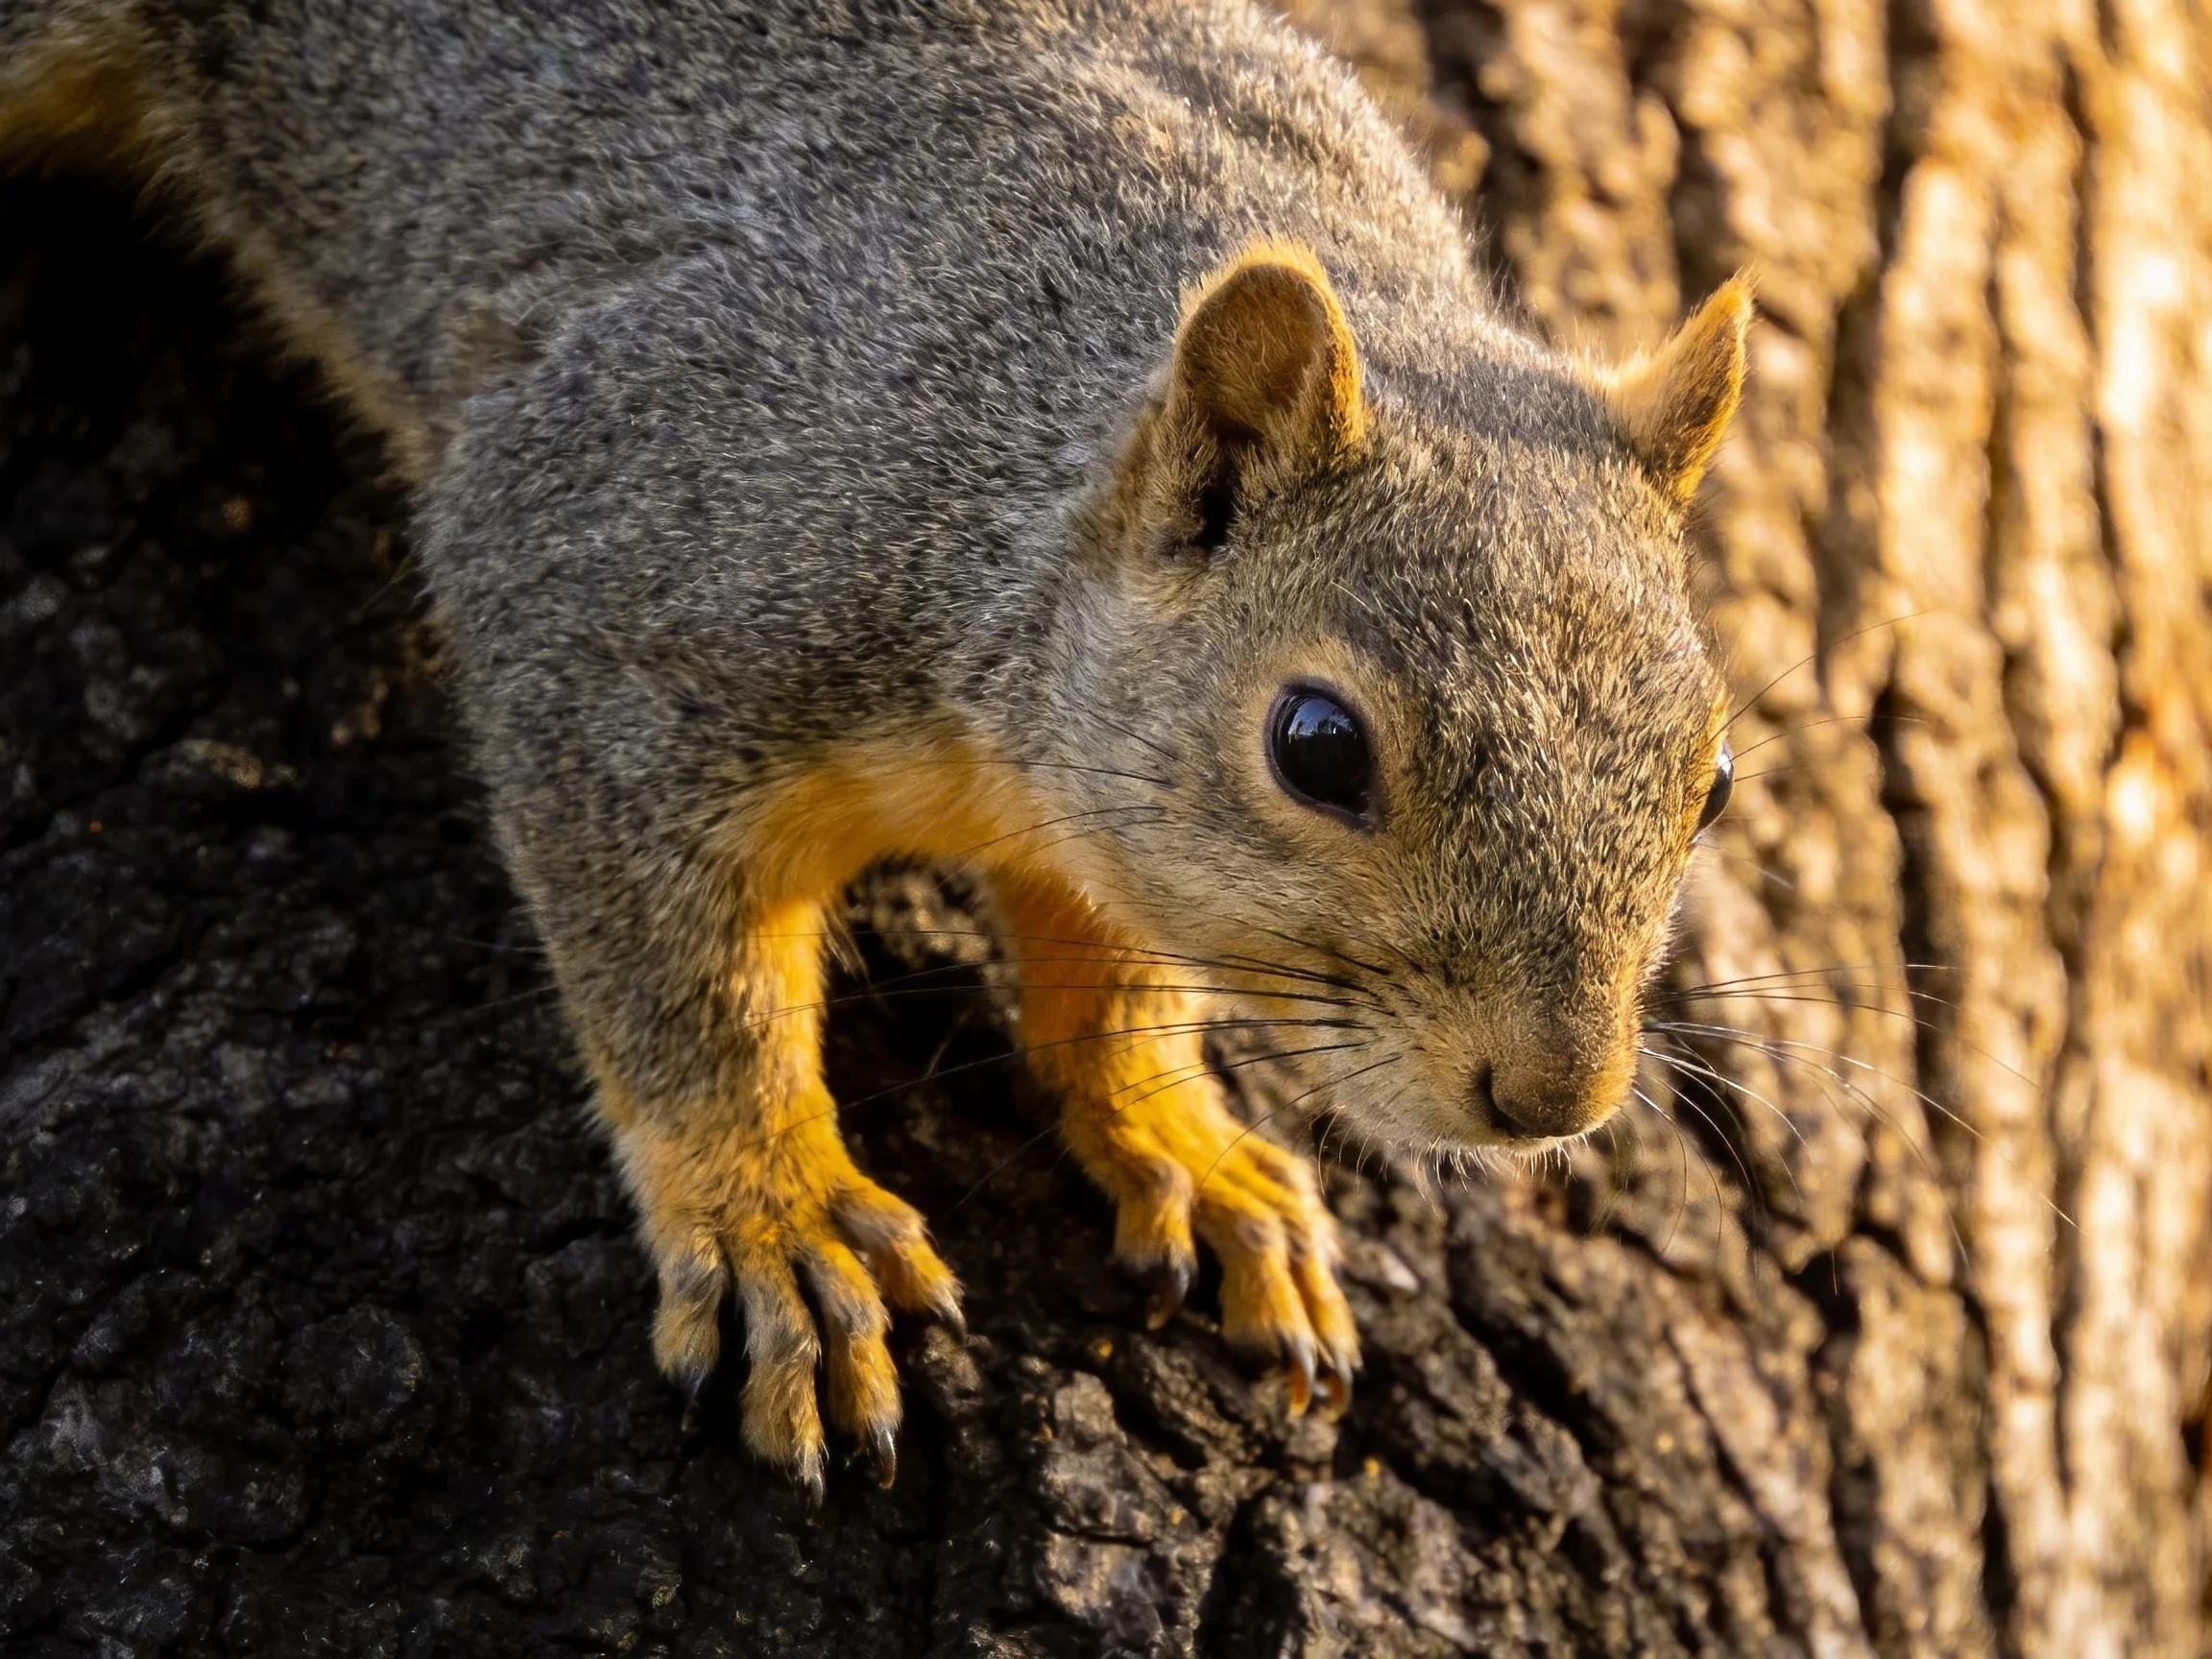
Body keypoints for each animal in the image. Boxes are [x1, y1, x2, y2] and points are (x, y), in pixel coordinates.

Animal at [2, 0, 1747, 1497]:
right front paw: (771, 1219)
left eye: (1713, 780)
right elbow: (685, 983)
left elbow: (1114, 970)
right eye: (1317, 747)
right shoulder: (621, 565)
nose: (1553, 1096)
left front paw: (1174, 1130)